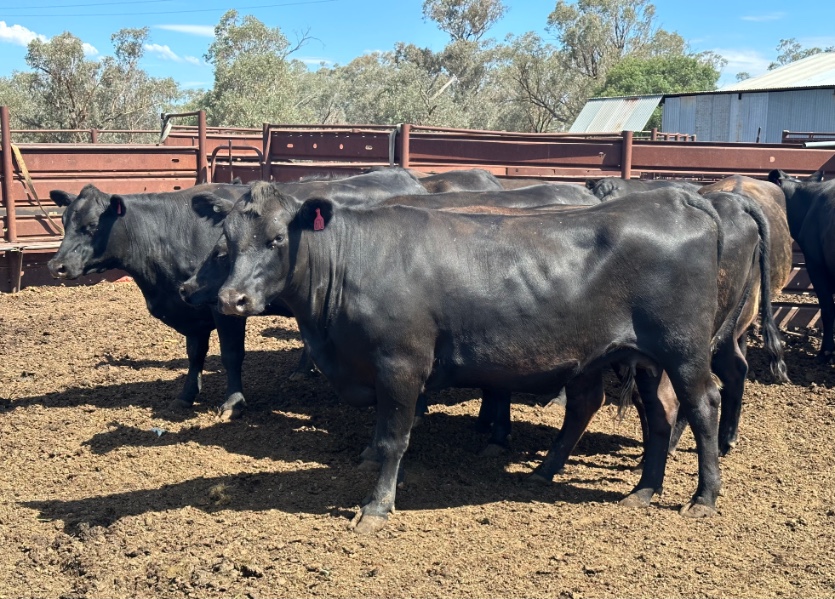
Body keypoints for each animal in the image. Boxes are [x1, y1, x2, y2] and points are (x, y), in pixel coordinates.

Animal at [48, 180, 250, 420]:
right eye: (64, 221)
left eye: (93, 224)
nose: (56, 266)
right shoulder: (190, 311)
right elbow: (195, 354)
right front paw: (186, 395)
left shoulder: (225, 308)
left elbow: (231, 354)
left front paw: (233, 403)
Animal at [202, 184, 740, 536]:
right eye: (226, 242)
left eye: (276, 239)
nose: (231, 300)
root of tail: (676, 199)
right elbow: (383, 435)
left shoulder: (401, 364)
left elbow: (395, 437)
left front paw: (376, 506)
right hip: (640, 357)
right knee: (651, 414)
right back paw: (633, 488)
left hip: (683, 350)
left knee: (701, 406)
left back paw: (703, 498)